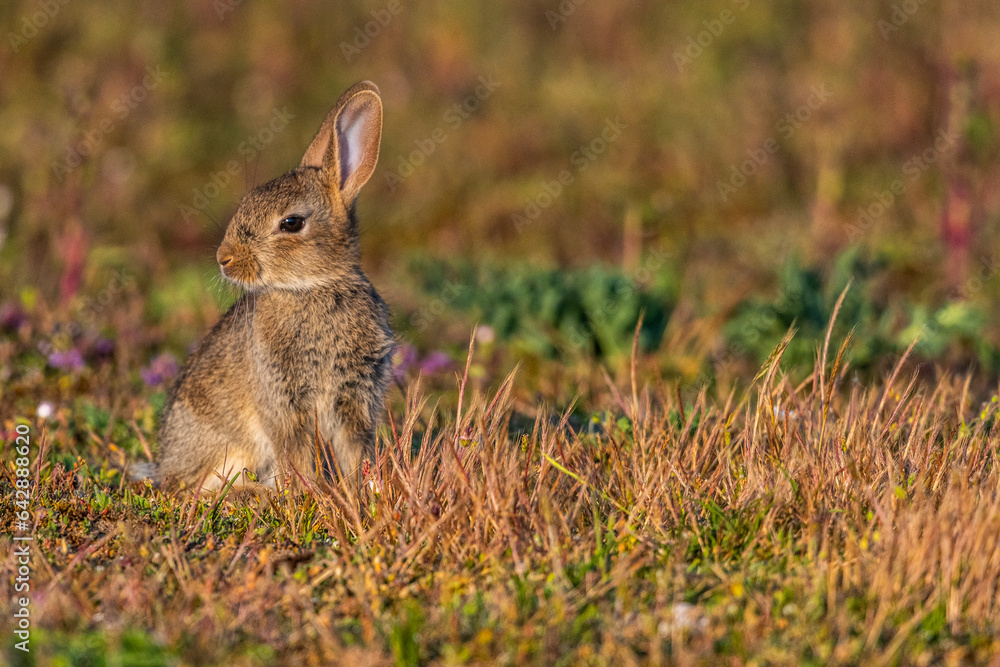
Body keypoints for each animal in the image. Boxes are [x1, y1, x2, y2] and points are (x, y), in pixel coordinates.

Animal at [132, 81, 394, 492]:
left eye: (291, 223)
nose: (224, 258)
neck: (312, 287)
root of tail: (166, 467)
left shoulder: (355, 398)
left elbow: (355, 452)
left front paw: (362, 492)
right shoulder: (283, 399)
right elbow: (296, 453)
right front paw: (306, 494)